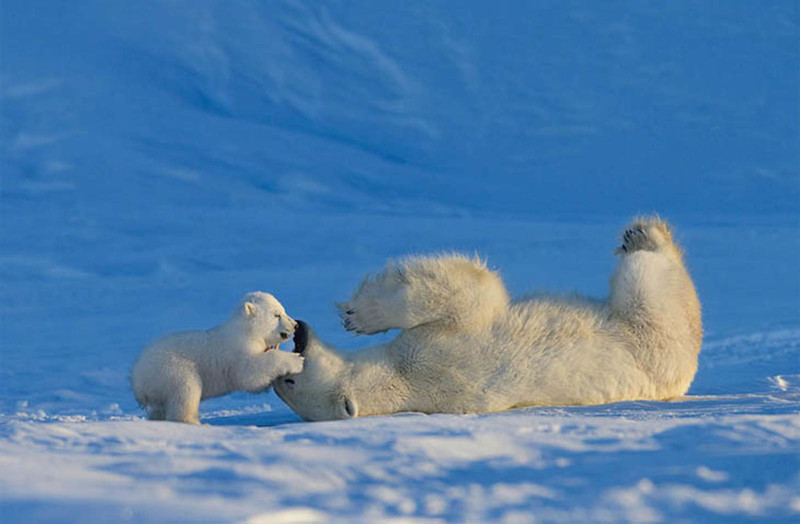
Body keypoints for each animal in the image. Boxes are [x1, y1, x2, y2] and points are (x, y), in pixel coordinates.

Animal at [133, 292, 304, 424]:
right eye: (277, 315)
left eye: (283, 310)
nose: (295, 325)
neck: (245, 331)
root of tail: (138, 380)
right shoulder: (238, 350)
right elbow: (249, 374)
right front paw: (297, 360)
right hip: (171, 369)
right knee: (186, 389)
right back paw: (195, 423)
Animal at [274, 217, 700, 422]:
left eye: (288, 381)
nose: (299, 331)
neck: (404, 383)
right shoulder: (440, 356)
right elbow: (469, 295)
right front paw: (359, 314)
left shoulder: (436, 353)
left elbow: (466, 296)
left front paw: (358, 315)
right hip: (653, 334)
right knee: (648, 282)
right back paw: (645, 236)